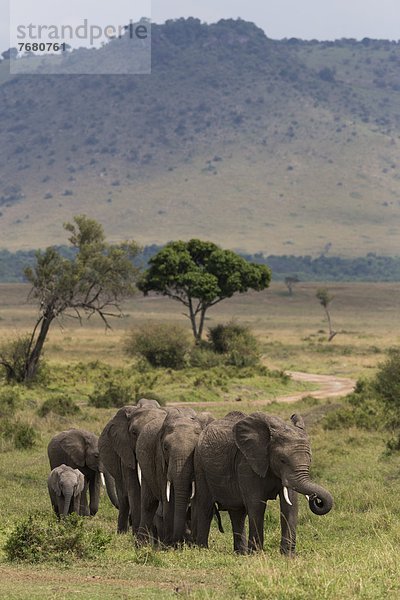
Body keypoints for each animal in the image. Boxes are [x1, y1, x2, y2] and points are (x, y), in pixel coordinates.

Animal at [194, 410, 334, 556]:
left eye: (310, 459)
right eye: (282, 460)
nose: (315, 498)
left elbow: (290, 505)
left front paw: (288, 556)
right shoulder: (246, 464)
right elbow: (257, 505)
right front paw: (256, 554)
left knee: (238, 513)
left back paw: (240, 553)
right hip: (200, 466)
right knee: (206, 507)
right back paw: (203, 549)